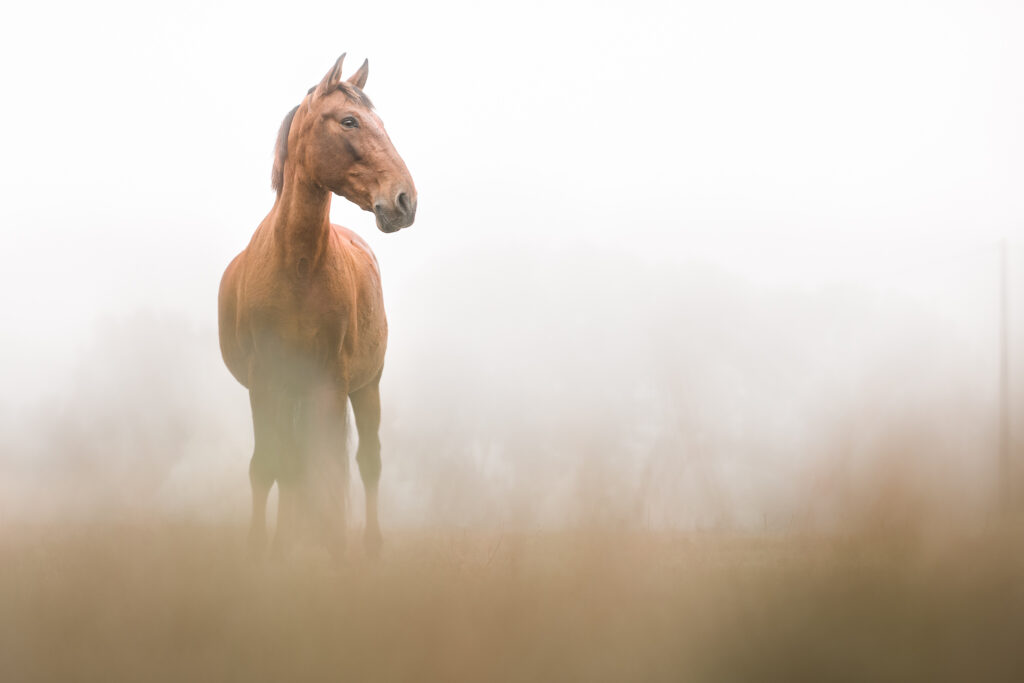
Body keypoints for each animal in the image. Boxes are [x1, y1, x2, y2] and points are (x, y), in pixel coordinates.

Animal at [219, 54, 415, 561]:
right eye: (349, 121)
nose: (405, 200)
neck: (298, 266)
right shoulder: (265, 383)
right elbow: (269, 466)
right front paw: (262, 549)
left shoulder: (331, 383)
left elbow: (330, 469)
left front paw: (331, 548)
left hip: (365, 387)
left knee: (367, 461)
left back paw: (367, 545)